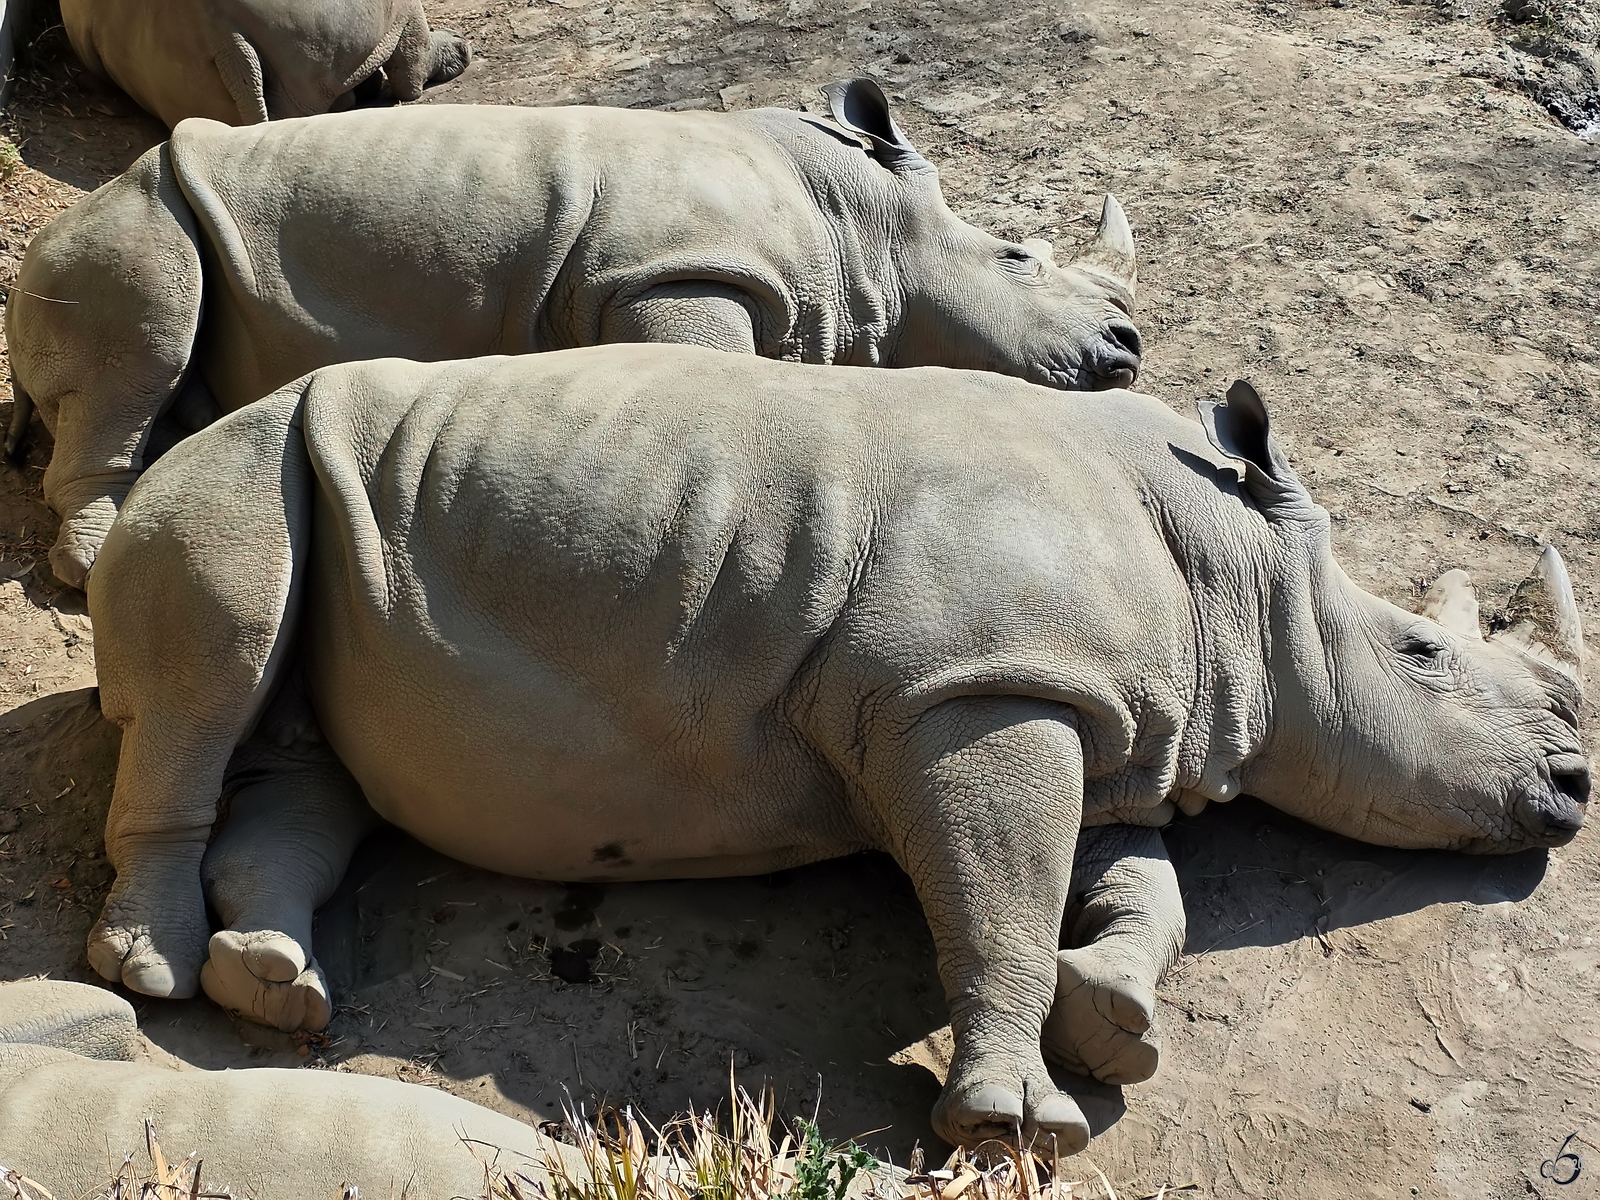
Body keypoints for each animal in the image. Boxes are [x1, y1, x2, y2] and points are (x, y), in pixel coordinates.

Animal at [5, 78, 1142, 590]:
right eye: (1018, 257)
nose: (1128, 351)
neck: (856, 229)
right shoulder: (674, 271)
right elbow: (700, 378)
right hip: (136, 217)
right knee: (148, 328)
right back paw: (97, 569)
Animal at [84, 347, 1588, 1150]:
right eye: (1421, 653)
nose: (1573, 790)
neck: (1226, 568)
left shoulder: (1090, 722)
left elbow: (1135, 891)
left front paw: (1113, 1019)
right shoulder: (974, 694)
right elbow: (997, 902)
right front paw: (1017, 1123)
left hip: (331, 503)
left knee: (307, 772)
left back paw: (273, 987)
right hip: (229, 473)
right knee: (215, 662)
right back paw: (151, 975)